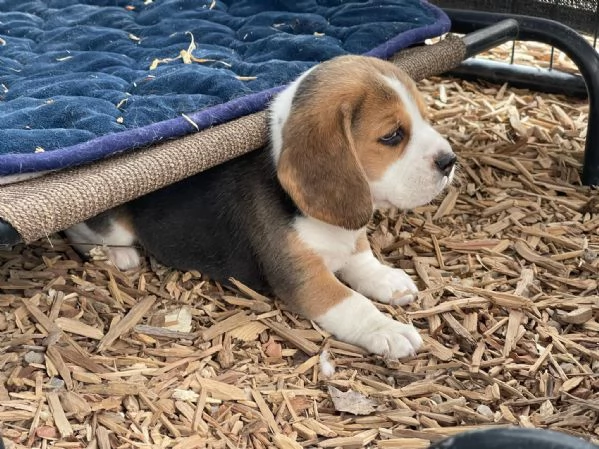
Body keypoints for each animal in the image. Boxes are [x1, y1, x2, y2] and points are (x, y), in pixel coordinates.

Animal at [64, 54, 454, 358]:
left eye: (425, 117)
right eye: (392, 136)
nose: (449, 161)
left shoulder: (349, 236)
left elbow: (362, 259)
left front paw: (387, 279)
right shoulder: (303, 279)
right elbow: (351, 302)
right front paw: (388, 330)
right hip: (113, 225)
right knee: (80, 230)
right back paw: (117, 255)